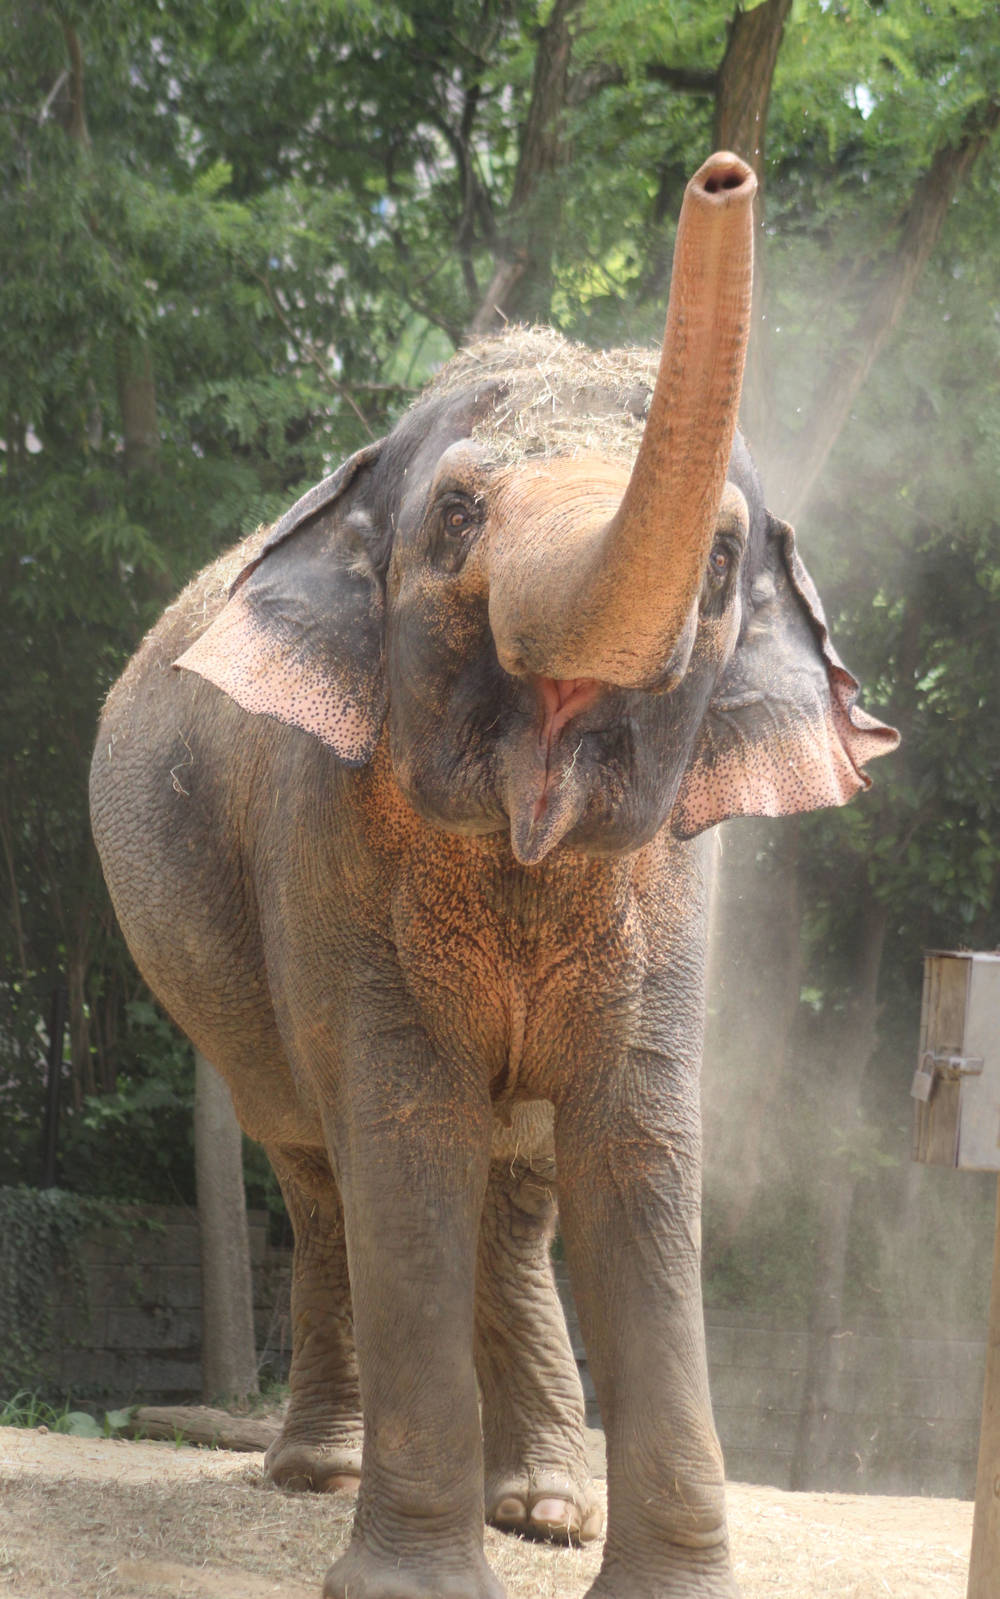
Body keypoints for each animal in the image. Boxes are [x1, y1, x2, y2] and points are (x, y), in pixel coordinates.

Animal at [90, 151, 897, 1599]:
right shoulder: (324, 836)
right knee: (318, 1162)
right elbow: (408, 1130)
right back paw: (320, 1470)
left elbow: (636, 1139)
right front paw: (407, 1582)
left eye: (723, 562)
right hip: (218, 982)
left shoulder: (675, 887)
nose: (722, 174)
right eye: (459, 517)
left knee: (515, 1190)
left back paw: (546, 1503)